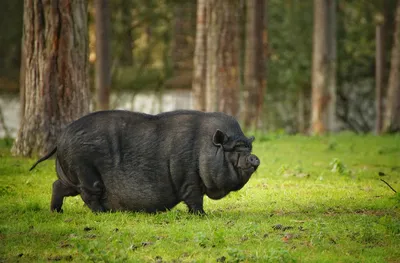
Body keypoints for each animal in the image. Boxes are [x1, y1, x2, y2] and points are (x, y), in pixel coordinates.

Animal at [30, 109, 260, 214]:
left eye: (248, 147)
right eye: (233, 149)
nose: (254, 158)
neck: (204, 147)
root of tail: (60, 138)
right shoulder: (188, 178)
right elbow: (195, 199)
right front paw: (203, 216)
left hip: (71, 175)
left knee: (57, 185)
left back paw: (56, 211)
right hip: (84, 170)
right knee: (89, 195)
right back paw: (103, 212)